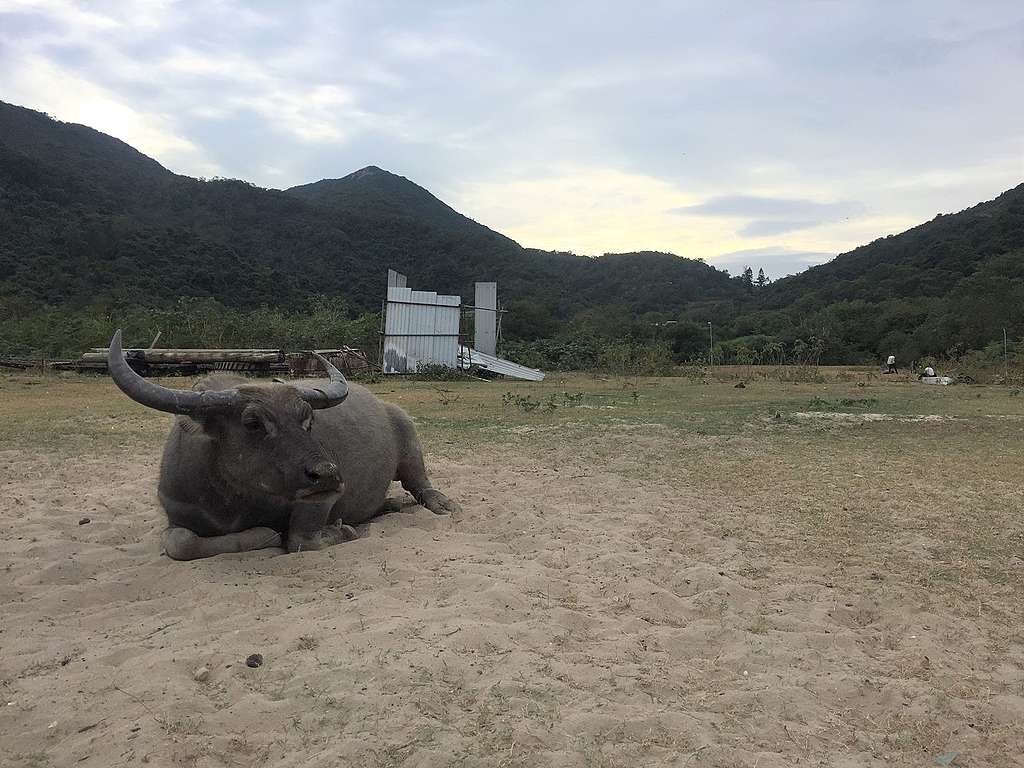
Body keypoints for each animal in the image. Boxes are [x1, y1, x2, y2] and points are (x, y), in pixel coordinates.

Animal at [105, 331, 458, 561]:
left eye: (308, 420)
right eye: (252, 423)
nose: (328, 474)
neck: (228, 498)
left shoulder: (321, 498)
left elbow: (302, 540)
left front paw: (334, 531)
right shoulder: (175, 510)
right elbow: (180, 543)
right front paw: (265, 534)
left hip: (409, 440)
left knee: (419, 481)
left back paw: (441, 503)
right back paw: (390, 504)